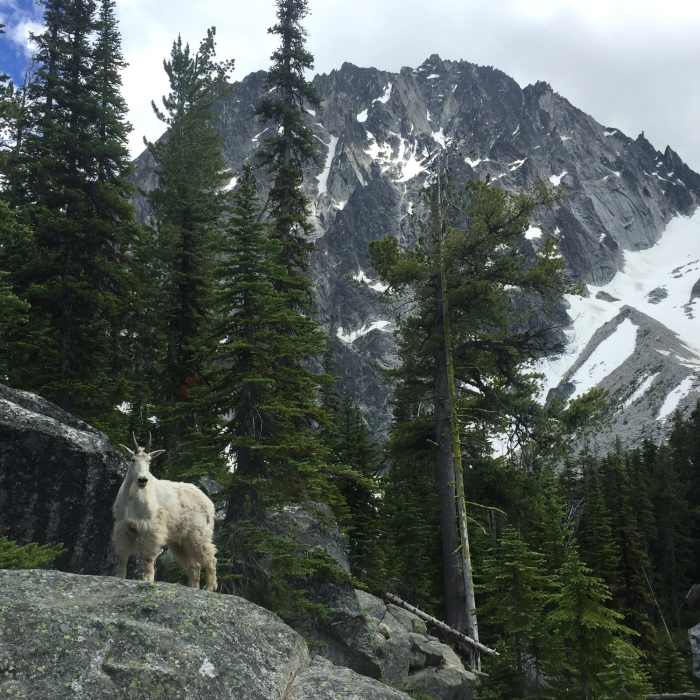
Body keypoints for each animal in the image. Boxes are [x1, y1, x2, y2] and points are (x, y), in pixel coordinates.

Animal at [112, 434, 218, 591]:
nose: (142, 480)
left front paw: (148, 579)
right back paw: (193, 588)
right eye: (132, 459)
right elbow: (122, 556)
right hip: (179, 541)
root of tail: (209, 503)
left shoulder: (151, 527)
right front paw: (120, 577)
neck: (132, 496)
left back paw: (209, 588)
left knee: (210, 557)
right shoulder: (124, 527)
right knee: (194, 566)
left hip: (199, 533)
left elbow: (148, 556)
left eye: (149, 461)